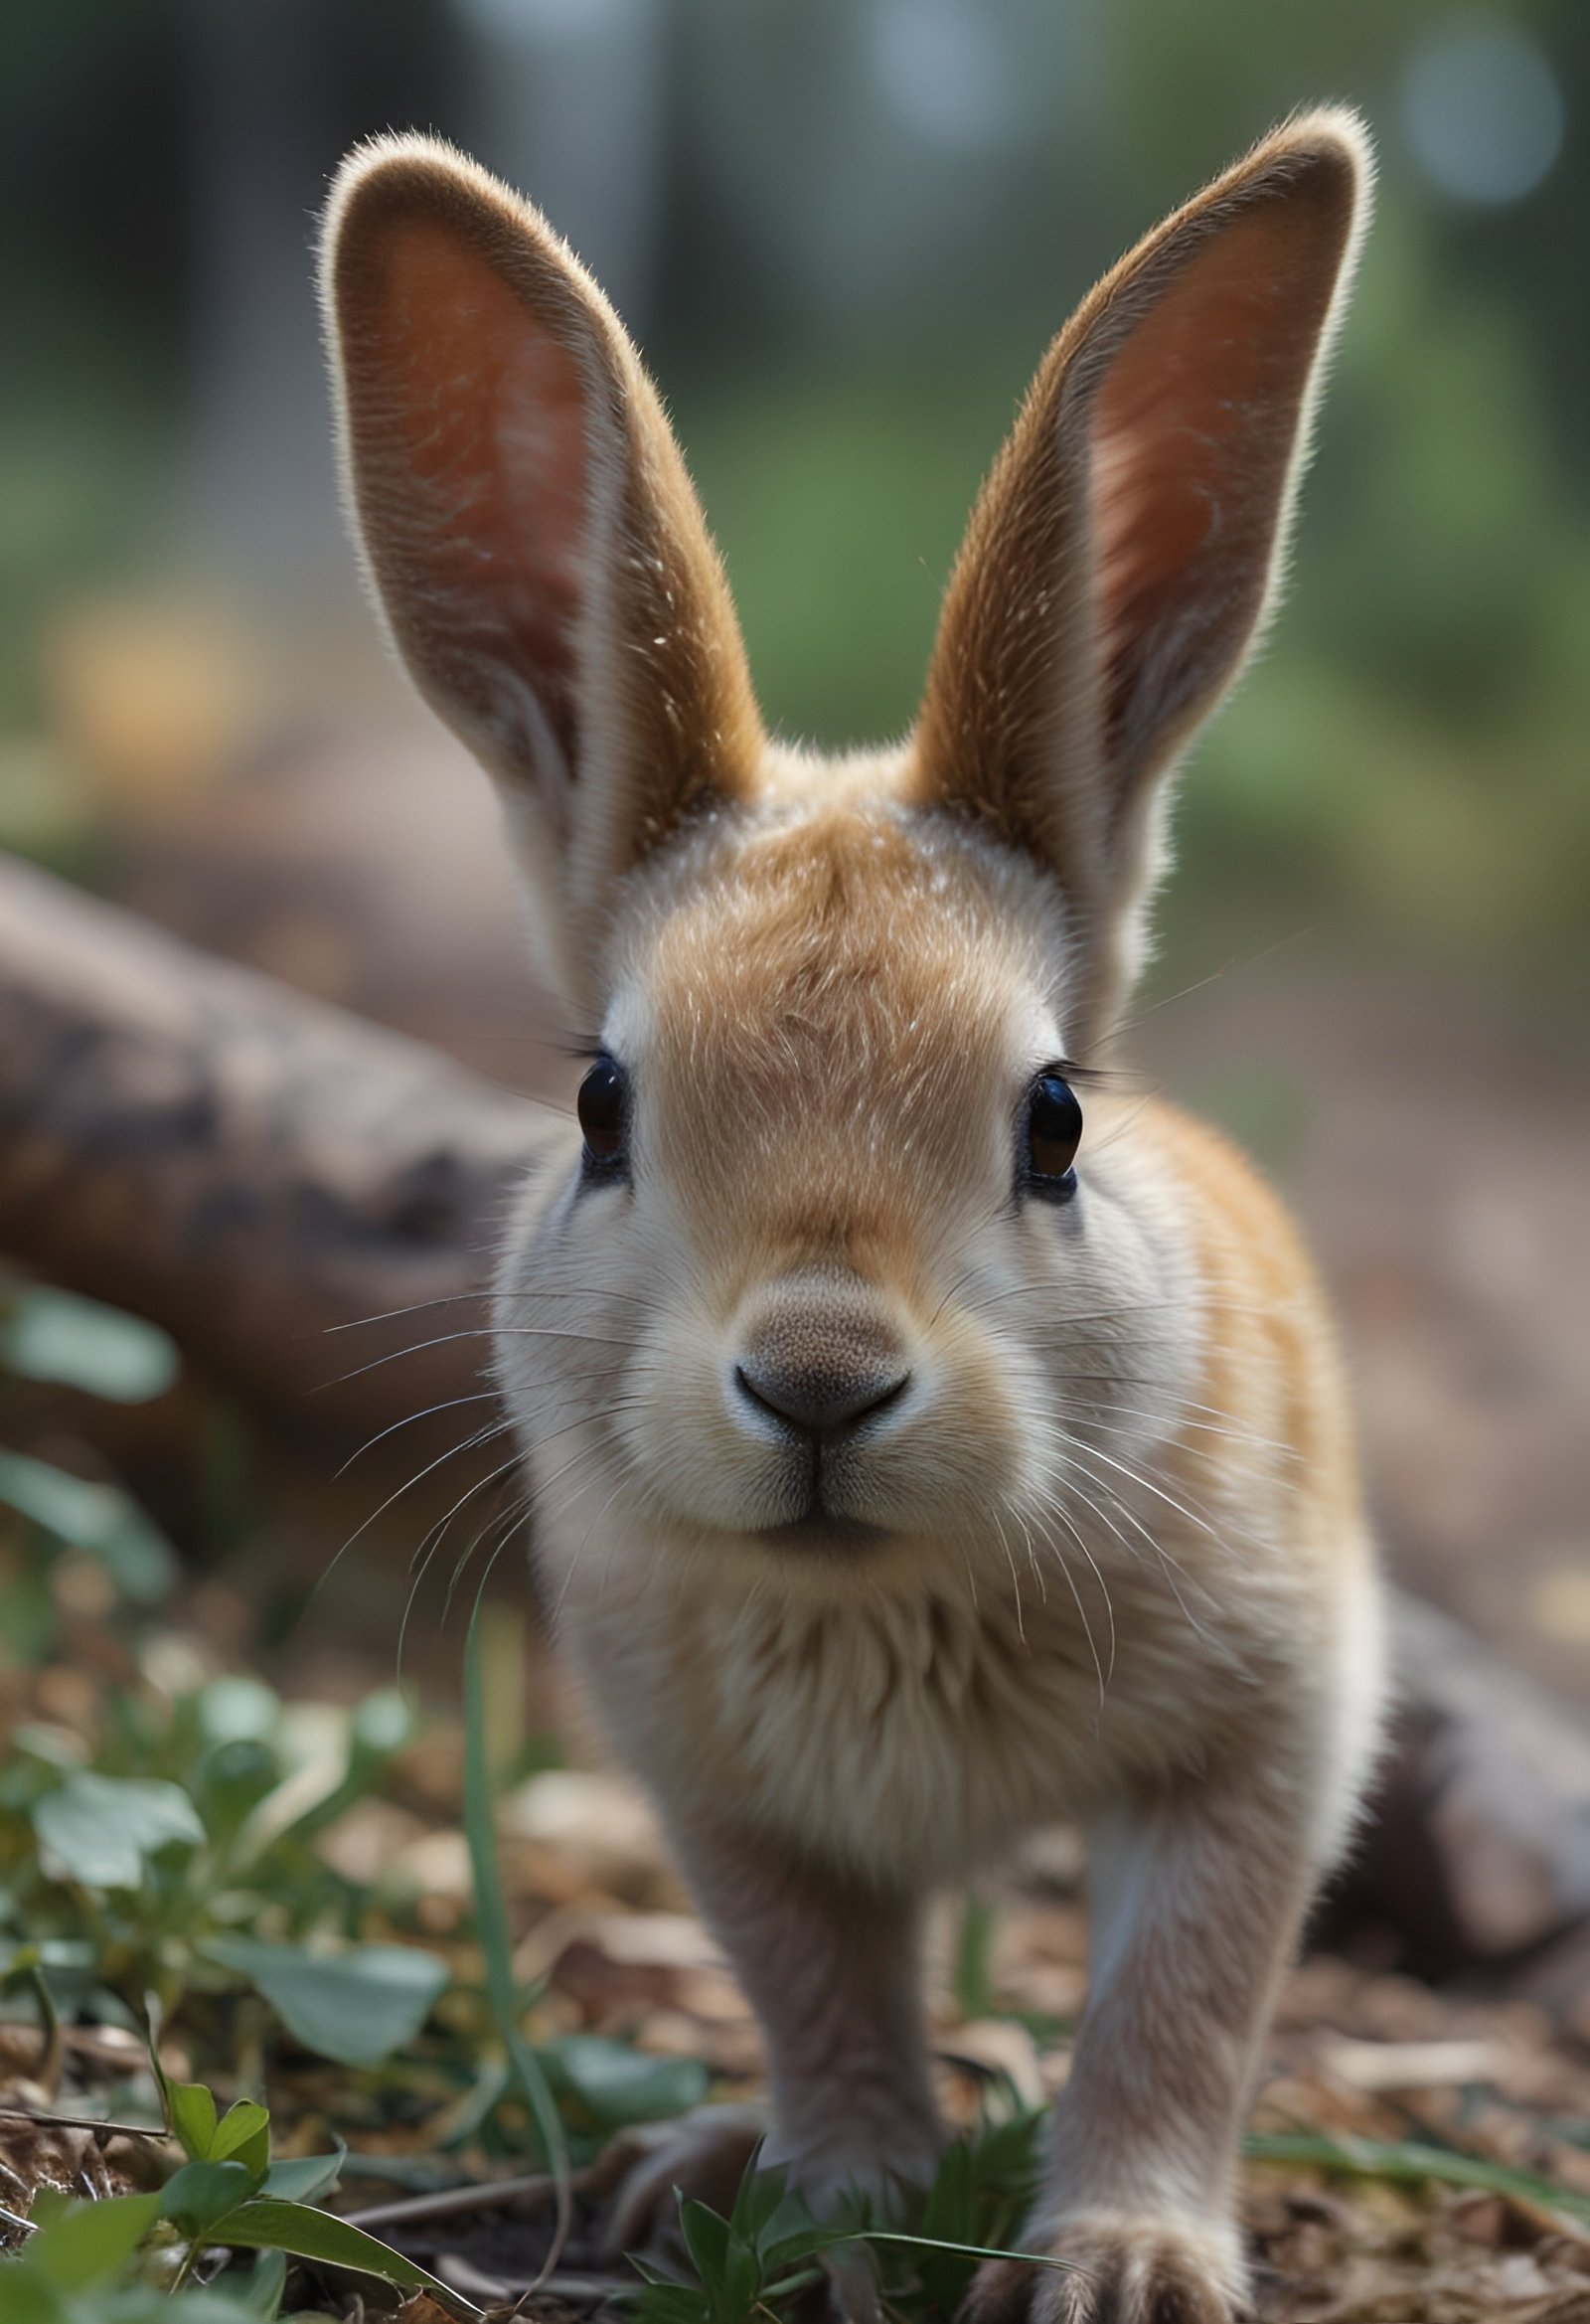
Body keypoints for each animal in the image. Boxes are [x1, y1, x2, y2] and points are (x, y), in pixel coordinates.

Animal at [321, 107, 1385, 2324]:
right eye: (602, 1104)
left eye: (1053, 1120)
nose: (817, 1377)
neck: (879, 1588)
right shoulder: (718, 1797)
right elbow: (813, 1984)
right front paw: (841, 2202)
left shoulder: (1269, 1735)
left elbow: (1181, 1994)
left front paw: (1122, 2260)